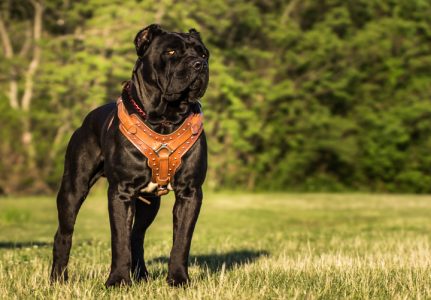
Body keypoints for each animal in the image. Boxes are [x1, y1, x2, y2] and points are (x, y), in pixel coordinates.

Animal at [50, 24, 209, 288]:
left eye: (204, 53)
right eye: (171, 51)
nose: (200, 64)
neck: (165, 118)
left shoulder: (190, 192)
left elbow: (181, 241)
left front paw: (178, 279)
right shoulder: (120, 192)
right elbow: (120, 240)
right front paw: (117, 281)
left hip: (149, 202)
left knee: (137, 235)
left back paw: (142, 274)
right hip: (73, 188)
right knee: (64, 233)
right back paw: (58, 279)